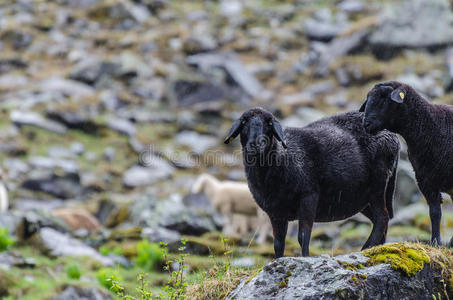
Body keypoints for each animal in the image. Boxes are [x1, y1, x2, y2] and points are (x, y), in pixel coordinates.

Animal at [224, 108, 398, 258]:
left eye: (269, 123)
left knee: (382, 217)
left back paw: (367, 248)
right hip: (361, 198)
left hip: (378, 184)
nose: (256, 144)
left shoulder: (309, 197)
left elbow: (303, 236)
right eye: (244, 122)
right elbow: (278, 243)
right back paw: (377, 248)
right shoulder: (275, 211)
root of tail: (392, 135)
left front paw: (305, 258)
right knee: (380, 219)